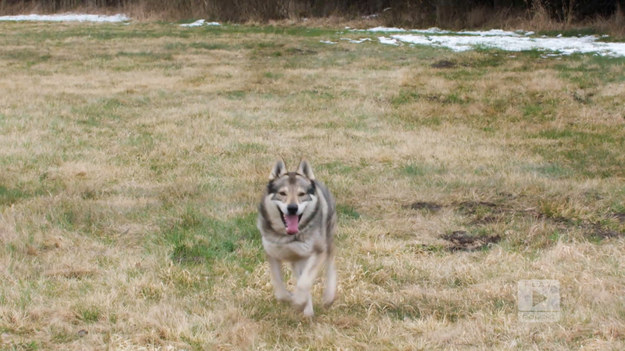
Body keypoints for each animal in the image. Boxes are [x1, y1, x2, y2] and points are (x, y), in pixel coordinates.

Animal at [256, 161, 336, 318]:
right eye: (282, 193)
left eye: (301, 194)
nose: (292, 208)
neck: (288, 237)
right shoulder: (272, 254)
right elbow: (280, 290)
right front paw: (292, 298)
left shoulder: (318, 252)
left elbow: (304, 283)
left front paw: (298, 301)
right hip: (297, 261)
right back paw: (307, 310)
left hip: (327, 242)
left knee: (330, 265)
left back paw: (328, 297)